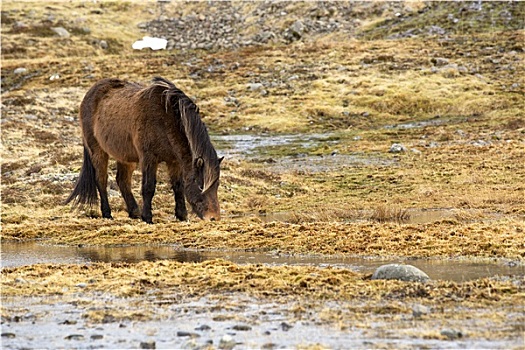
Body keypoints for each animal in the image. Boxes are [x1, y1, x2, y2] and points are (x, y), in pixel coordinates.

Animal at [65, 77, 221, 224]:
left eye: (217, 184)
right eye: (201, 185)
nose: (213, 217)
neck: (164, 119)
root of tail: (90, 93)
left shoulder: (174, 161)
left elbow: (178, 186)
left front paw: (182, 216)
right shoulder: (149, 159)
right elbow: (148, 187)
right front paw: (148, 218)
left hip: (125, 156)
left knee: (123, 181)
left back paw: (134, 212)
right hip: (98, 151)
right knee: (101, 180)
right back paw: (107, 214)